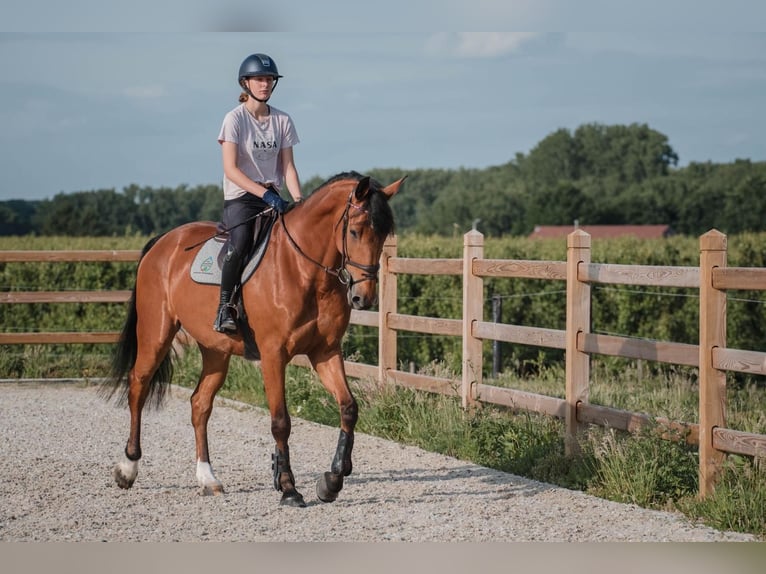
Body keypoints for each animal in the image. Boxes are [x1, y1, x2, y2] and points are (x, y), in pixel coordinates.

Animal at [102, 171, 405, 507]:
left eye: (384, 235)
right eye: (354, 231)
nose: (364, 298)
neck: (304, 270)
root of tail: (164, 241)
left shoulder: (325, 352)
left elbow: (349, 408)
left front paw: (332, 480)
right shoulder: (273, 354)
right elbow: (281, 421)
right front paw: (288, 488)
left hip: (215, 350)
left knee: (200, 404)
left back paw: (208, 478)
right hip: (156, 333)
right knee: (139, 385)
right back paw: (127, 468)